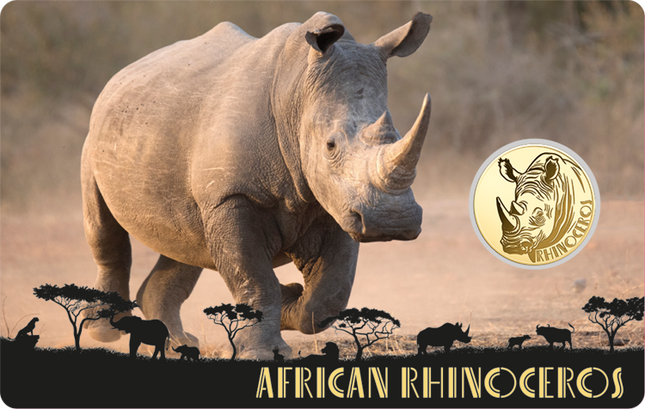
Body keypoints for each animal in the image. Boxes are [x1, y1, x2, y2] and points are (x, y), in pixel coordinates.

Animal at [81, 11, 433, 359]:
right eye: (330, 146)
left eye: (397, 135)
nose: (392, 221)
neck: (297, 97)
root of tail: (119, 77)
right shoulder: (231, 196)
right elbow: (255, 280)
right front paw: (264, 351)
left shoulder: (337, 203)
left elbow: (329, 295)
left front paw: (290, 299)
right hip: (97, 139)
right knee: (104, 229)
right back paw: (105, 331)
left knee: (185, 245)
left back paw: (178, 344)